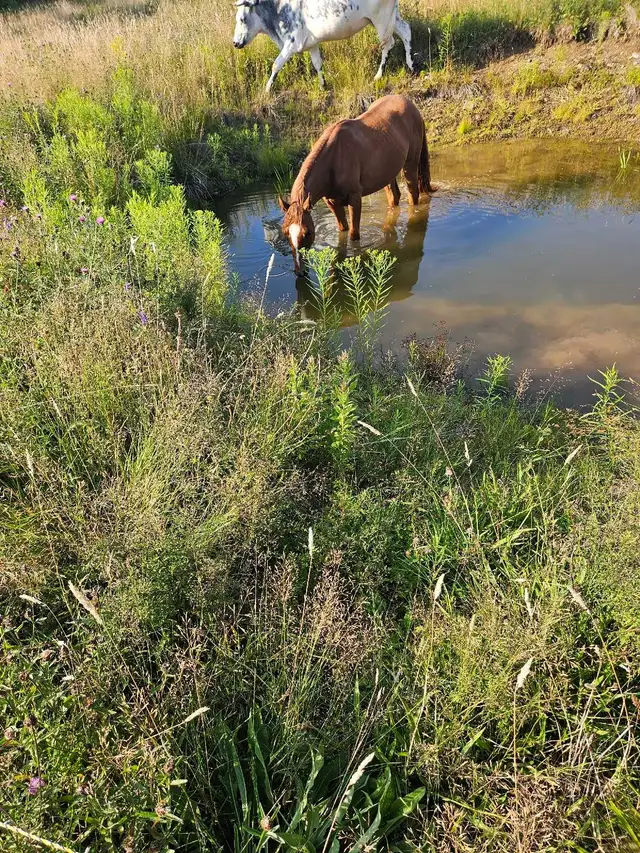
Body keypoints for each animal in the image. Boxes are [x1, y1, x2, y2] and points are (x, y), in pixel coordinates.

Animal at [232, 0, 414, 92]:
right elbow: (317, 63)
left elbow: (276, 65)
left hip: (381, 21)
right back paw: (411, 66)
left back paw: (379, 75)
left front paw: (267, 89)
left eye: (242, 19)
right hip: (391, 18)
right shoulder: (312, 43)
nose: (235, 42)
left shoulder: (291, 42)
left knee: (389, 43)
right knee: (405, 31)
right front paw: (323, 85)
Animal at [279, 94, 432, 273]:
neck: (334, 159)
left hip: (410, 165)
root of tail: (409, 103)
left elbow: (353, 235)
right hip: (387, 173)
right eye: (285, 232)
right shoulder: (332, 203)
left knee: (413, 195)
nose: (300, 272)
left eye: (308, 232)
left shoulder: (355, 199)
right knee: (394, 197)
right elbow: (343, 231)